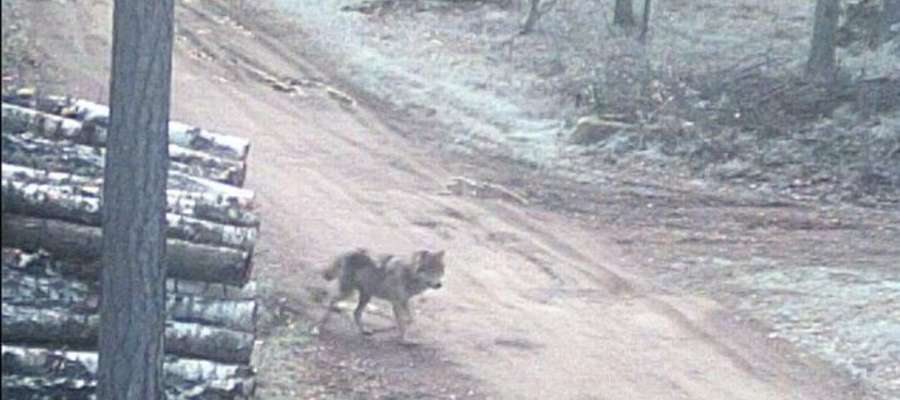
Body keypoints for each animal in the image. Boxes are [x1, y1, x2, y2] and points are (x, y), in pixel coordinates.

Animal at [312, 247, 446, 340]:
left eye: (440, 271)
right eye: (431, 270)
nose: (439, 285)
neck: (408, 274)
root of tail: (348, 251)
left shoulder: (404, 301)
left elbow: (411, 319)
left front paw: (400, 329)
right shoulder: (397, 303)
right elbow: (402, 323)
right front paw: (405, 340)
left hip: (366, 295)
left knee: (356, 312)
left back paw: (364, 330)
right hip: (348, 293)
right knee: (331, 300)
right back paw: (319, 326)